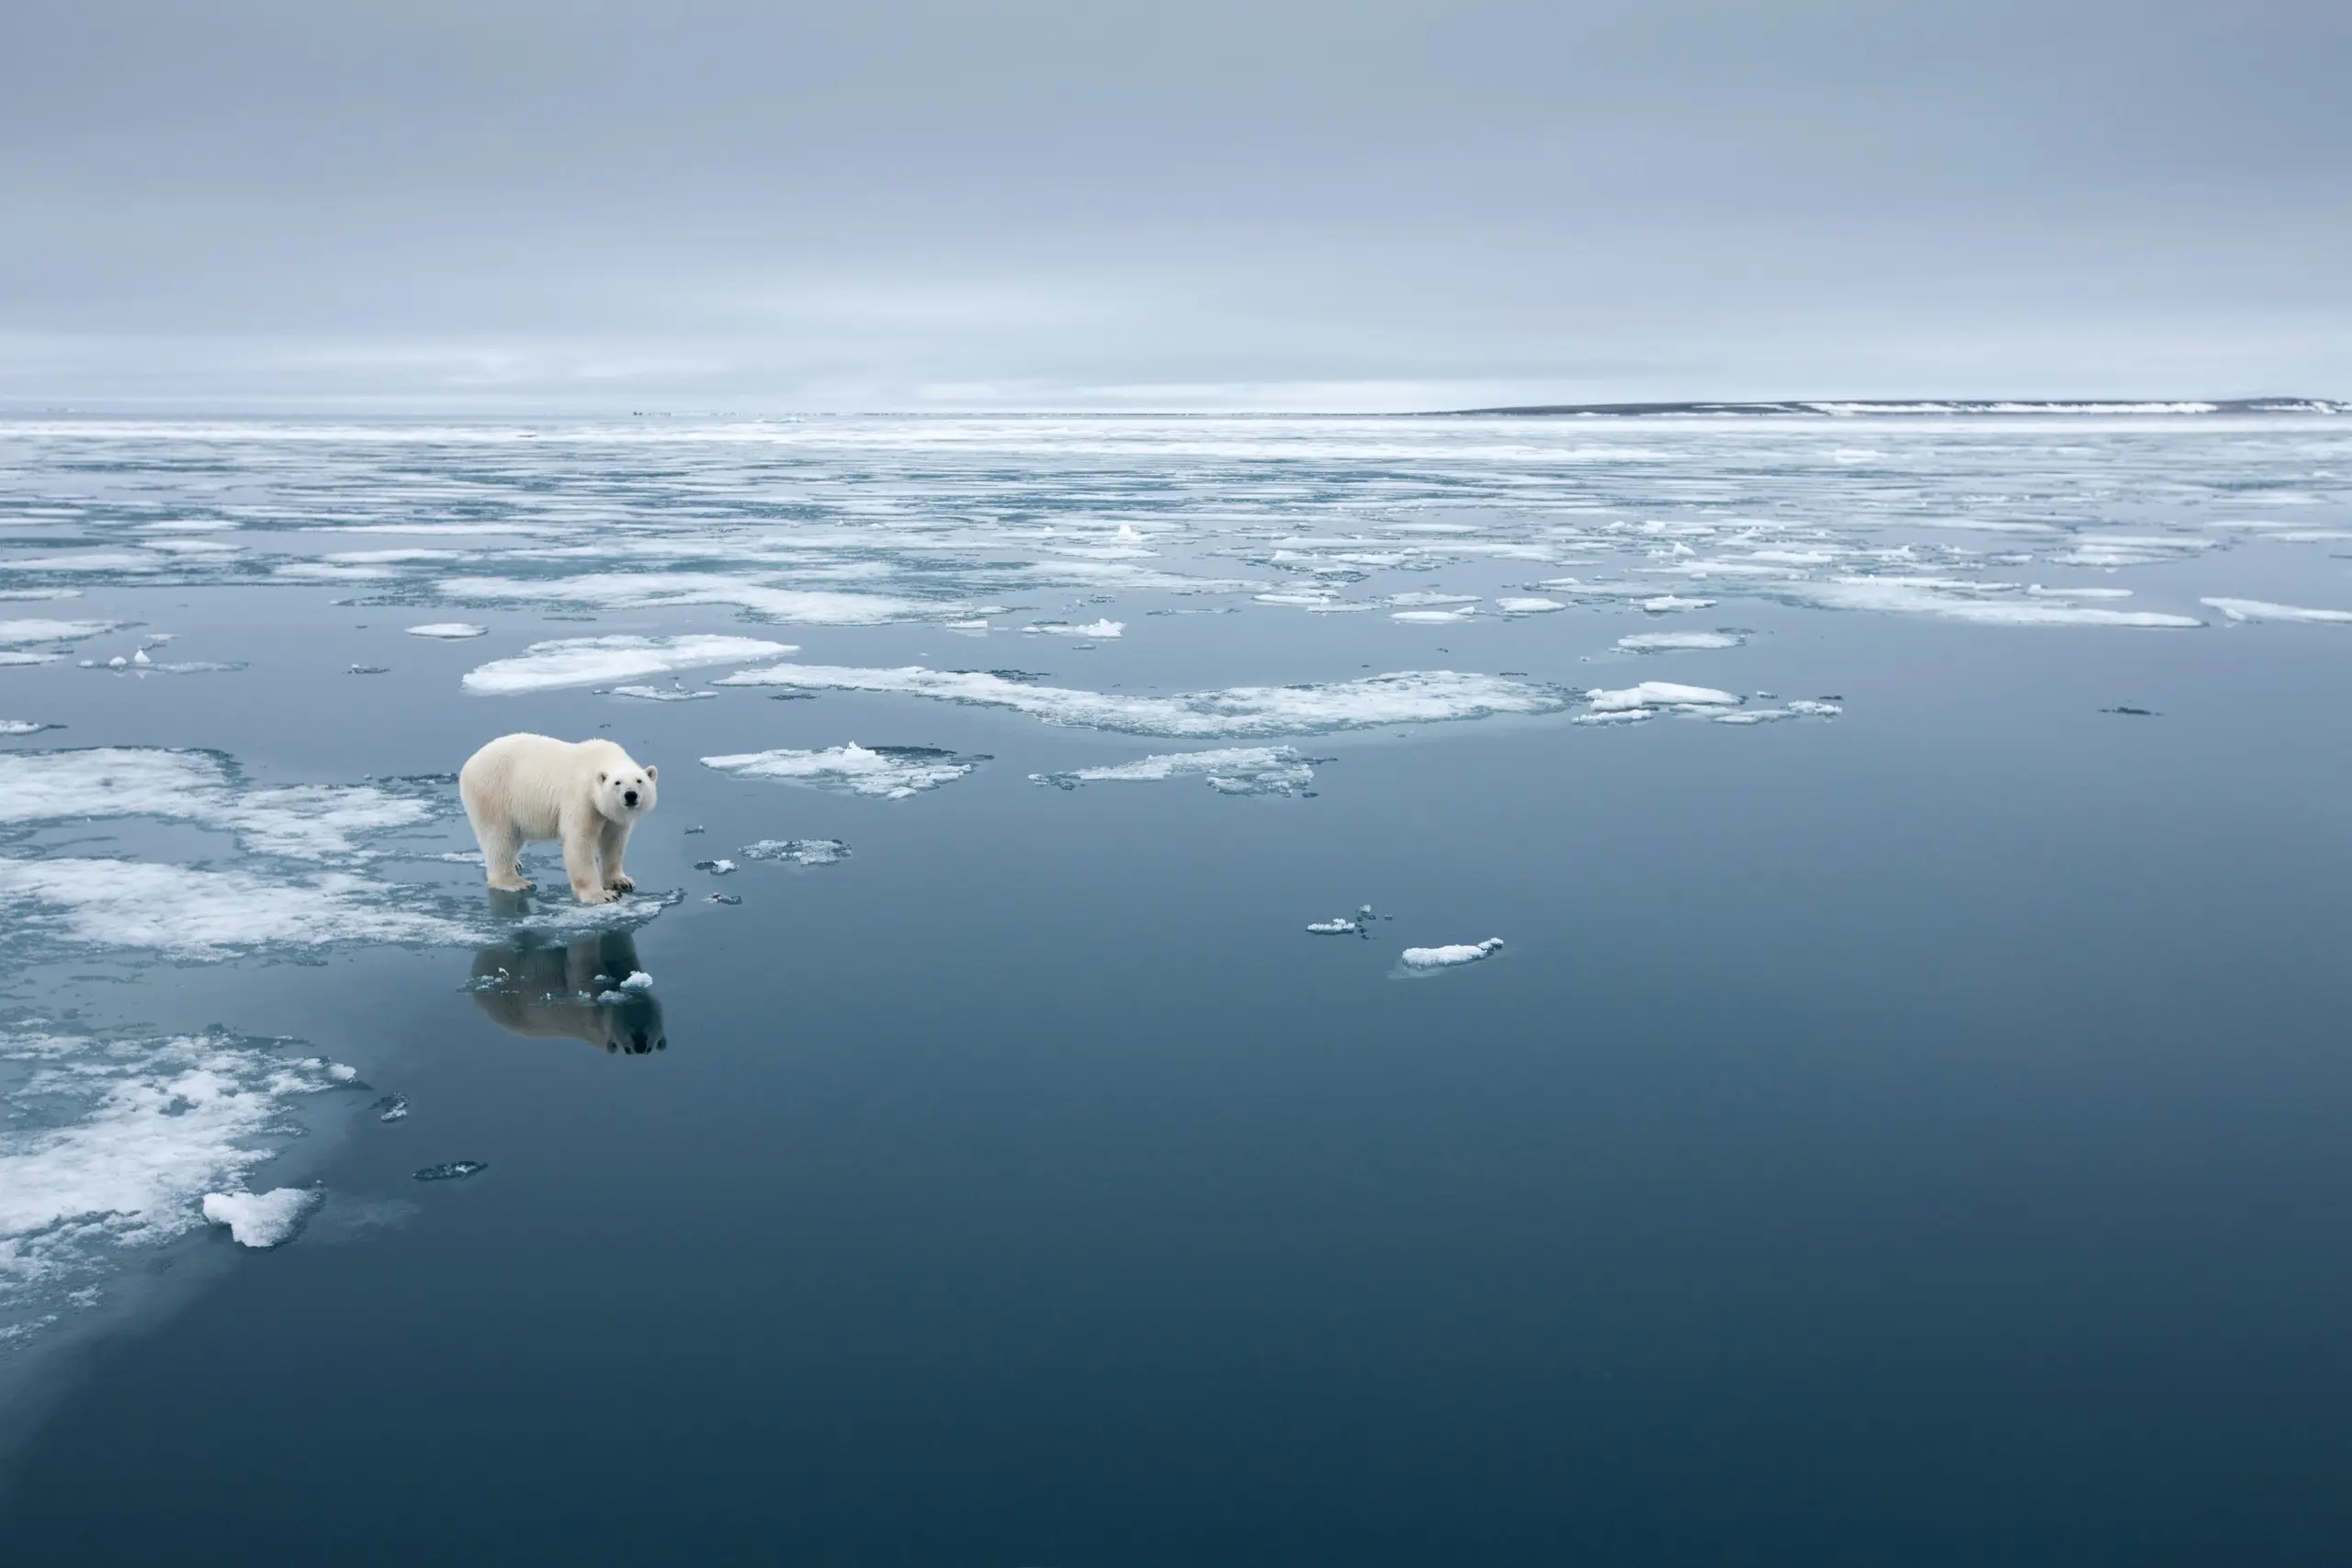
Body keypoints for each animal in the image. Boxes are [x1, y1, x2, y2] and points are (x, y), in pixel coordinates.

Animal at [458, 733, 657, 904]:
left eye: (639, 781)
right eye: (617, 783)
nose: (630, 795)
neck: (600, 758)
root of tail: (468, 763)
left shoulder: (611, 816)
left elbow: (613, 841)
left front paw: (621, 881)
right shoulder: (582, 798)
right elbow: (580, 842)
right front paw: (602, 895)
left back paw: (516, 863)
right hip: (494, 794)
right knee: (499, 838)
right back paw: (514, 882)